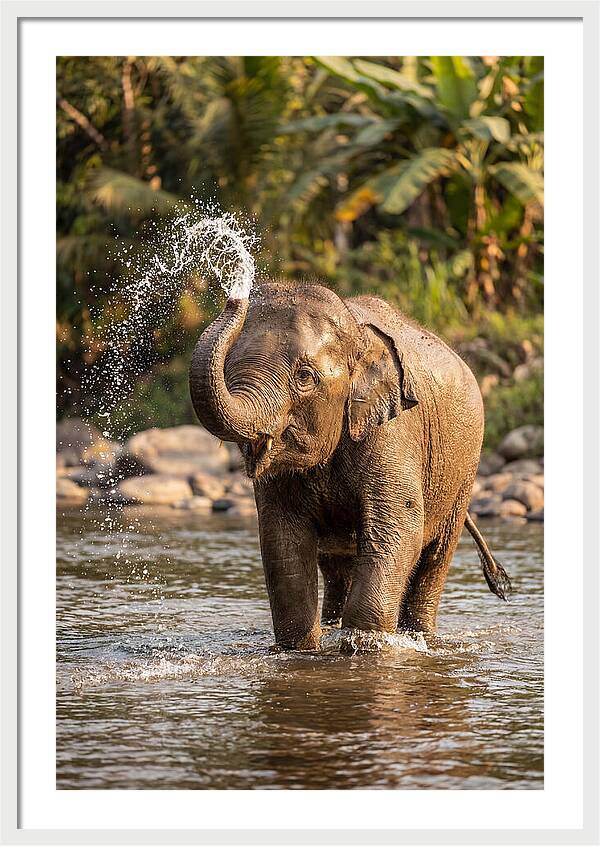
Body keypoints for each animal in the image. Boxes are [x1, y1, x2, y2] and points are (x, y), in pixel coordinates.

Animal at [189, 281, 510, 650]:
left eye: (304, 377)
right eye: (228, 368)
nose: (235, 294)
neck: (357, 333)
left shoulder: (394, 432)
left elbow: (398, 528)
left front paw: (364, 645)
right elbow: (282, 540)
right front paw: (303, 648)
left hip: (463, 471)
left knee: (435, 556)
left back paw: (420, 636)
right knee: (336, 565)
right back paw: (333, 625)